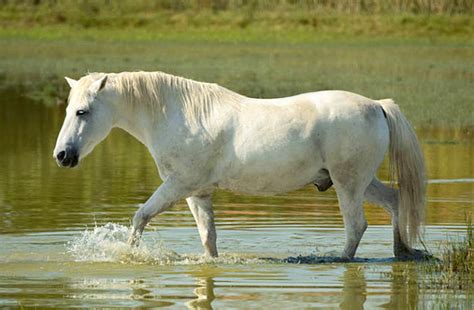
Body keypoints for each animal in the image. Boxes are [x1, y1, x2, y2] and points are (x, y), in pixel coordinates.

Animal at [52, 71, 430, 260]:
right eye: (69, 109)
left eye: (82, 111)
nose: (62, 156)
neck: (179, 114)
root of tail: (377, 106)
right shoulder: (198, 194)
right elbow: (208, 240)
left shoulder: (179, 185)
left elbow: (139, 217)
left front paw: (129, 257)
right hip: (360, 182)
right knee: (396, 201)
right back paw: (402, 253)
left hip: (349, 184)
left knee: (356, 226)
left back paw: (339, 260)